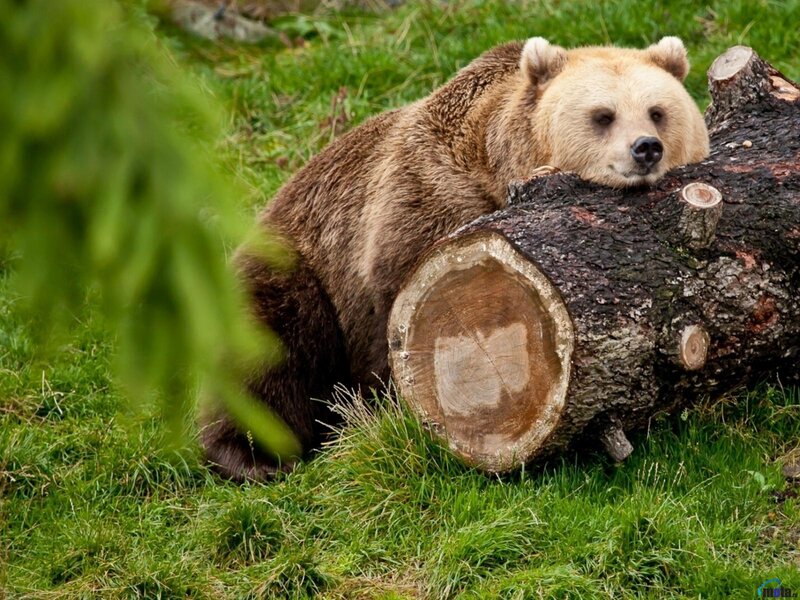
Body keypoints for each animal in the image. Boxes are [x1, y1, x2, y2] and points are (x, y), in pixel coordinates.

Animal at [200, 36, 710, 481]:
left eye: (657, 111)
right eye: (603, 115)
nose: (645, 148)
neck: (499, 166)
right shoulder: (424, 203)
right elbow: (395, 305)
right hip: (297, 268)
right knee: (265, 349)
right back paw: (254, 458)